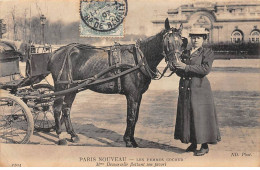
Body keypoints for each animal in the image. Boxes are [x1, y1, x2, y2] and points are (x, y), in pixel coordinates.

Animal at [48, 18, 187, 146]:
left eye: (181, 43)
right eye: (167, 42)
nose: (176, 65)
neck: (138, 60)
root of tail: (56, 52)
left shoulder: (138, 95)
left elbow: (135, 117)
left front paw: (132, 139)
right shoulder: (132, 94)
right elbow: (130, 117)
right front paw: (128, 141)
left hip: (72, 88)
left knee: (66, 109)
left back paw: (73, 135)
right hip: (61, 87)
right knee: (57, 109)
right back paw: (60, 137)